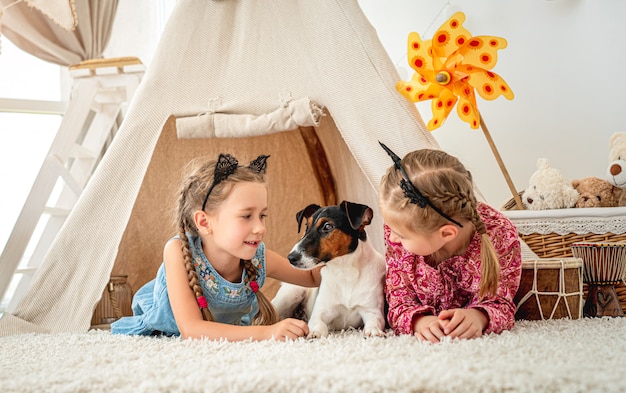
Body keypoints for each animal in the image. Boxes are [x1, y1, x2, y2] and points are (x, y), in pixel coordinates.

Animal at [272, 201, 386, 336]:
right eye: (306, 226)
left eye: (327, 226)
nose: (291, 258)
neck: (345, 271)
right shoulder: (320, 314)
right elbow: (318, 325)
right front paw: (315, 334)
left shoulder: (373, 312)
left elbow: (374, 322)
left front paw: (374, 331)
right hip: (291, 293)